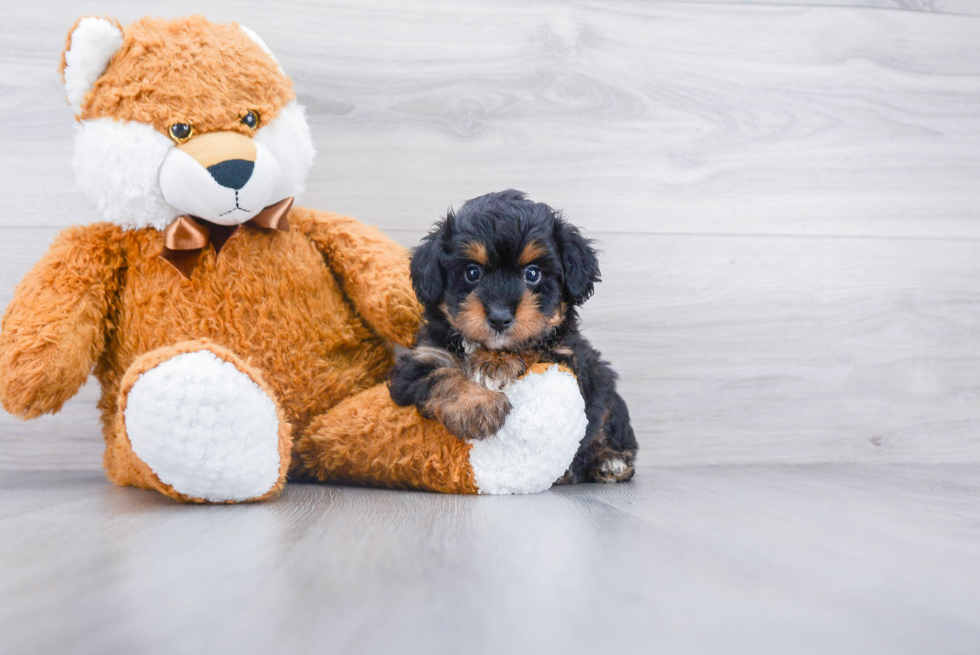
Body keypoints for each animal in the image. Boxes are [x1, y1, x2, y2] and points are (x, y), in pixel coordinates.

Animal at [386, 187, 640, 484]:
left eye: (532, 273)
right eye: (472, 272)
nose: (499, 317)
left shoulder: (569, 359)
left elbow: (534, 344)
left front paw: (495, 362)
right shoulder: (421, 360)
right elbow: (443, 376)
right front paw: (478, 406)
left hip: (607, 392)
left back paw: (610, 462)